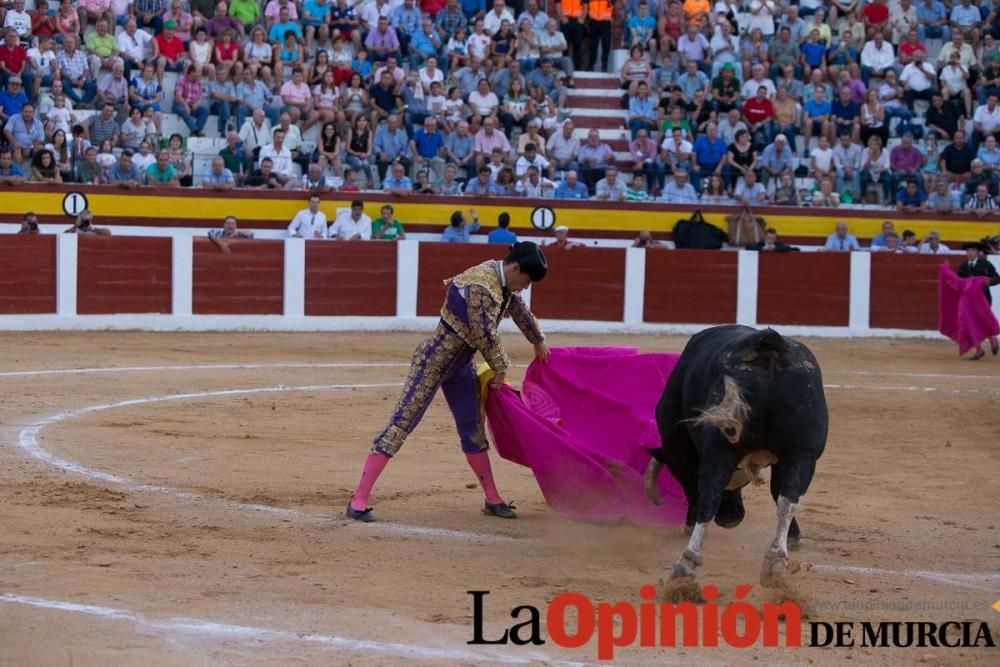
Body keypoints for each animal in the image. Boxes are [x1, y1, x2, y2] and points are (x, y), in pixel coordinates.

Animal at [644, 324, 824, 596]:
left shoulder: (680, 450)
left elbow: (693, 489)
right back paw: (775, 565)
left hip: (719, 447)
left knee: (708, 496)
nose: (730, 518)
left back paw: (685, 566)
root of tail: (767, 344)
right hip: (802, 452)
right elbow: (778, 493)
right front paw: (793, 538)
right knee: (788, 499)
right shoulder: (790, 456)